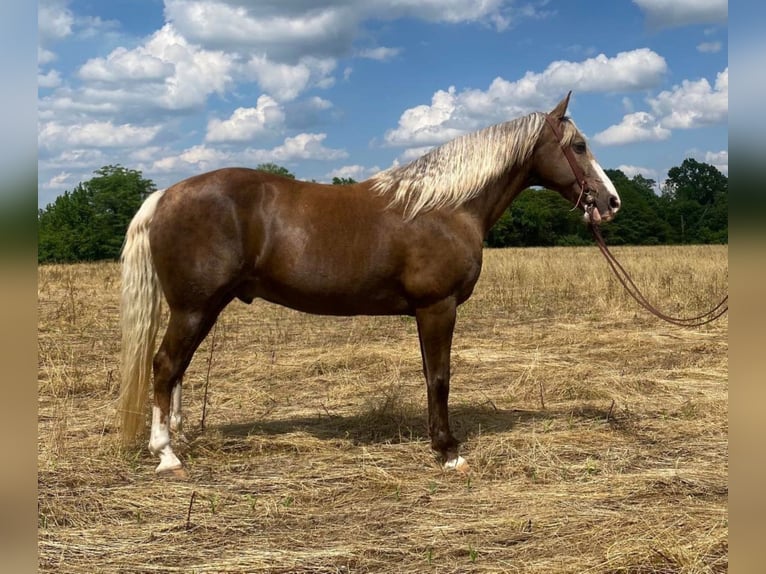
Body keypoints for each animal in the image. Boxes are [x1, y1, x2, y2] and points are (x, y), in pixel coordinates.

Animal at [120, 92, 624, 474]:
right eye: (579, 146)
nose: (611, 202)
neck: (446, 207)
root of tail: (165, 195)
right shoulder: (438, 306)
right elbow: (440, 377)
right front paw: (448, 452)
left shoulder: (426, 311)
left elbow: (429, 375)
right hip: (194, 308)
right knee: (165, 365)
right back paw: (167, 455)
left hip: (201, 308)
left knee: (177, 369)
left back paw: (178, 438)